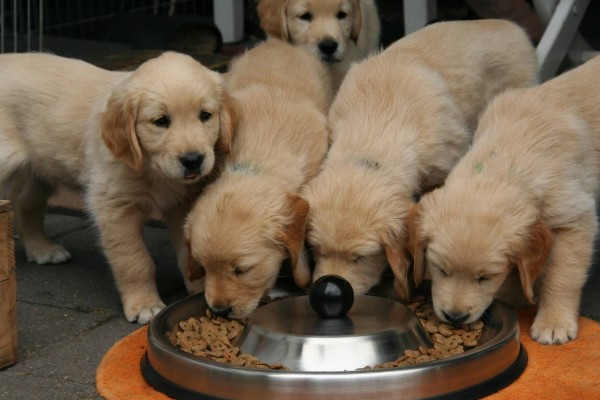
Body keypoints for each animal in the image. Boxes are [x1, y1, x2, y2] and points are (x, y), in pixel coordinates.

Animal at [410, 54, 600, 346]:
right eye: (441, 270)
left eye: (485, 277)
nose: (455, 316)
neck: (507, 159)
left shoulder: (574, 219)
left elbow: (562, 275)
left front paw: (553, 322)